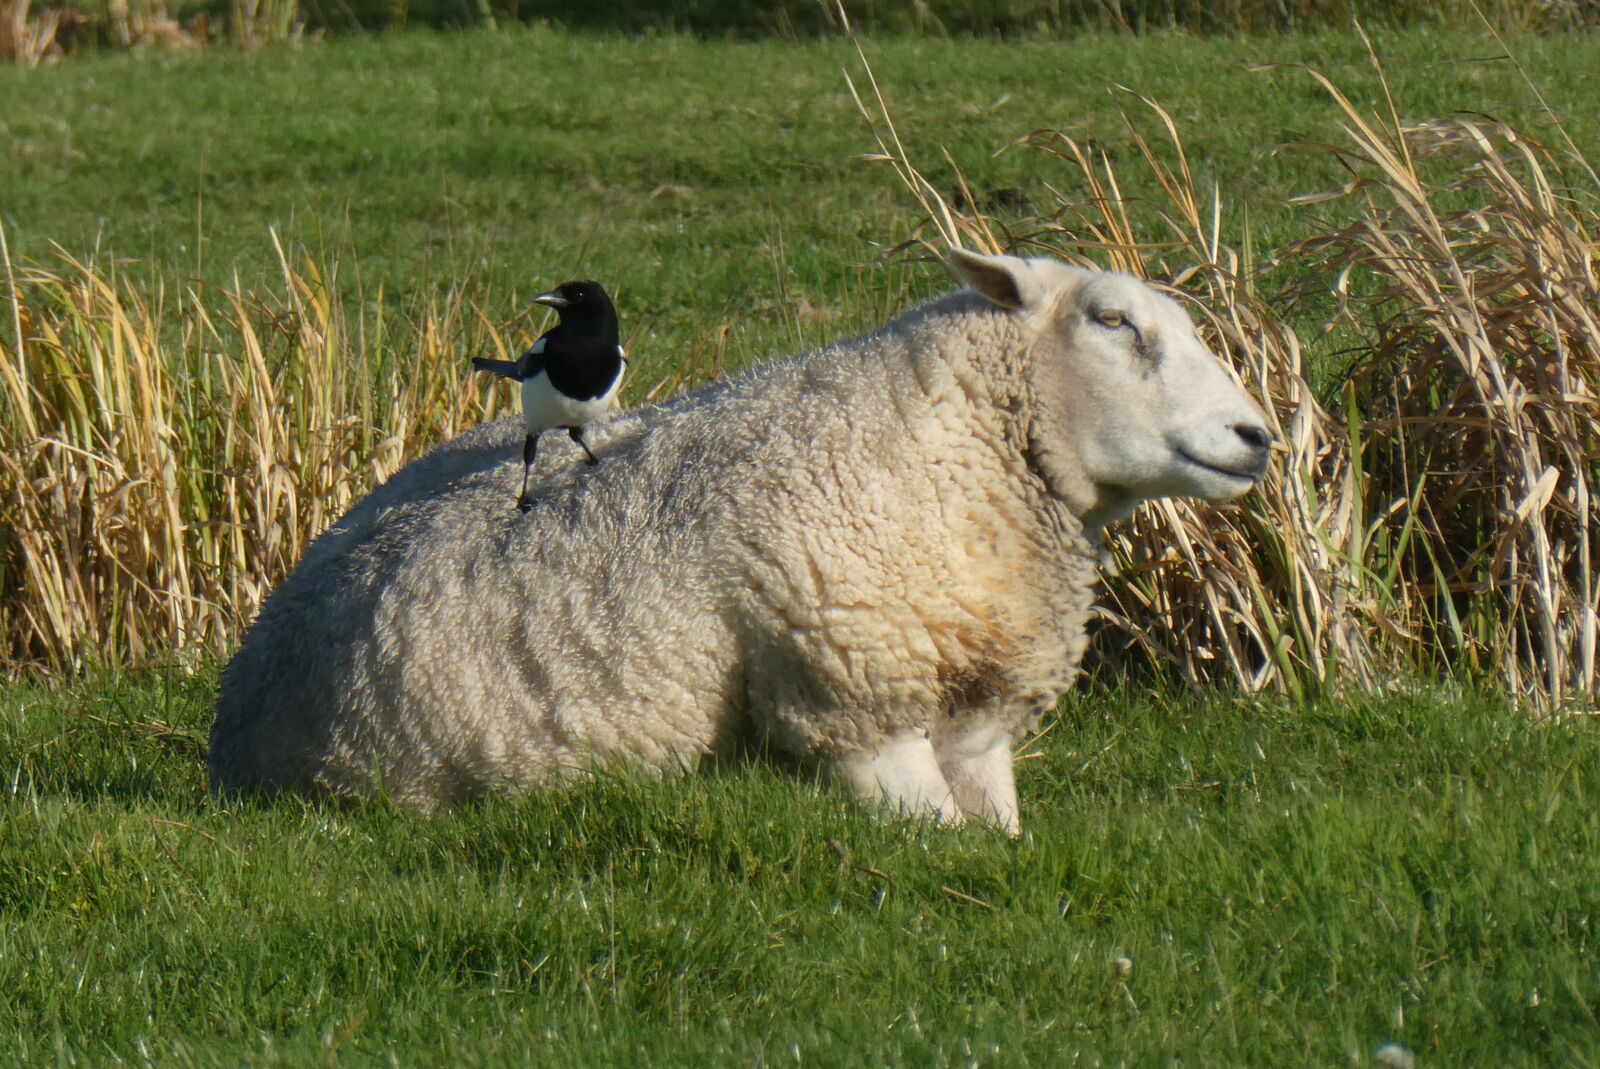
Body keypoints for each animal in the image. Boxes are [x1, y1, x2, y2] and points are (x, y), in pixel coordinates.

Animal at [208, 249, 1272, 833]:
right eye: (1113, 321)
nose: (1256, 436)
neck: (947, 443)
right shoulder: (852, 700)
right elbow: (934, 834)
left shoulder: (976, 707)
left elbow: (997, 836)